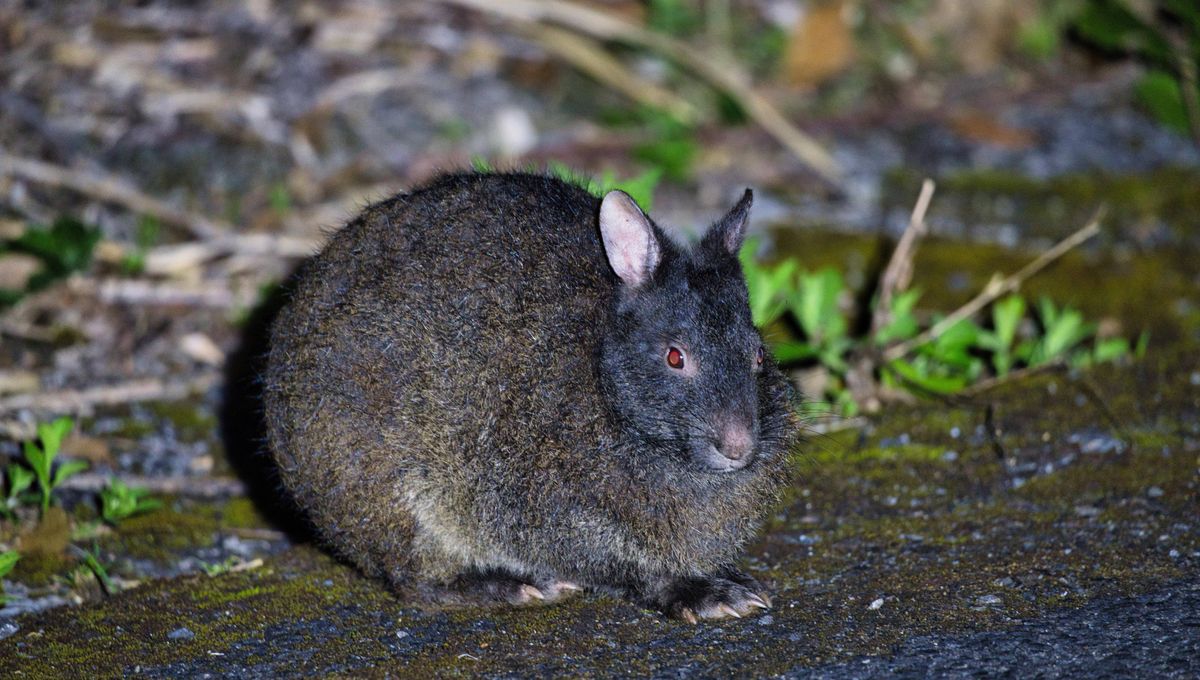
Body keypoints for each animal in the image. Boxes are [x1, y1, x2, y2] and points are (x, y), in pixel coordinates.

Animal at [263, 172, 799, 622]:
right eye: (674, 357)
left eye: (757, 355)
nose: (739, 447)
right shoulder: (552, 514)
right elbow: (626, 567)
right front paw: (700, 592)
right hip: (400, 496)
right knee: (415, 584)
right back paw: (506, 585)